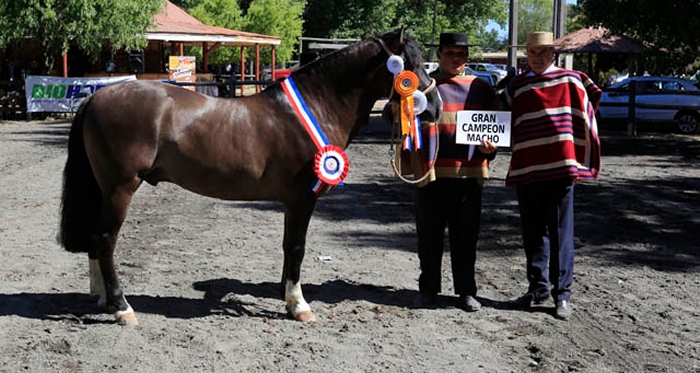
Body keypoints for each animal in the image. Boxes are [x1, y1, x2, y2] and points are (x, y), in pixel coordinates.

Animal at [61, 29, 442, 324]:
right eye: (408, 65)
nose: (436, 107)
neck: (315, 106)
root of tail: (97, 97)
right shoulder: (301, 199)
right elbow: (297, 247)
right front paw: (299, 305)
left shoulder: (293, 202)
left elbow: (289, 247)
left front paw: (287, 298)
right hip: (120, 188)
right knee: (106, 238)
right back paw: (122, 307)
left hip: (105, 189)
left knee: (96, 237)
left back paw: (102, 298)